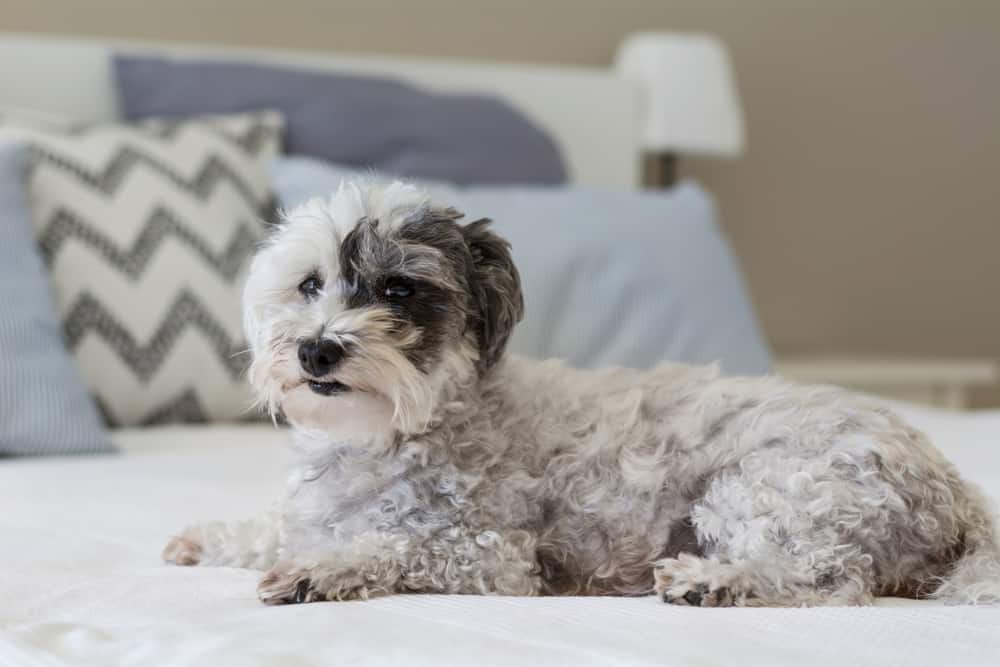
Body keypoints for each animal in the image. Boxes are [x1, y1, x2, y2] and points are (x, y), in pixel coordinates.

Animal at [164, 180, 1000, 608]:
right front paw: (210, 538)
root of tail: (956, 490)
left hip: (767, 487)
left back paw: (715, 581)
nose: (315, 349)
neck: (399, 429)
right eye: (310, 284)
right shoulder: (318, 509)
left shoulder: (492, 556)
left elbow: (391, 543)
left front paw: (322, 570)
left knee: (830, 580)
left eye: (398, 288)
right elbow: (279, 528)